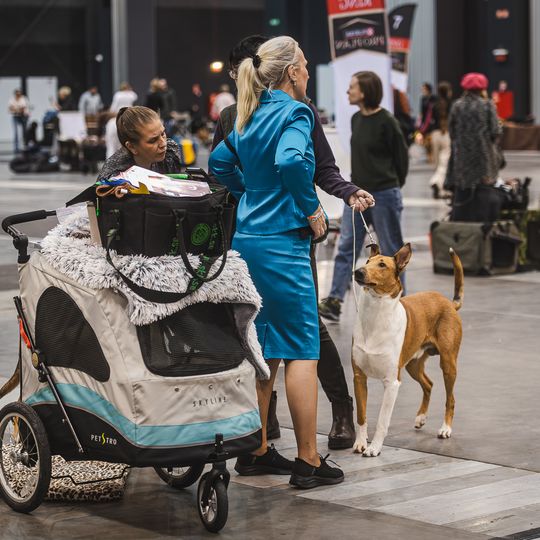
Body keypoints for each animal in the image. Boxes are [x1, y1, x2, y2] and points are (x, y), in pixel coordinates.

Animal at [351, 243, 463, 457]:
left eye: (382, 265)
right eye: (367, 261)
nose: (358, 272)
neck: (375, 318)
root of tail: (449, 303)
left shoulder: (392, 382)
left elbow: (382, 421)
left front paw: (374, 448)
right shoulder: (359, 377)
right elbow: (361, 415)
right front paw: (360, 443)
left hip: (448, 363)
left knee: (451, 398)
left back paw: (445, 428)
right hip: (413, 364)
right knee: (428, 384)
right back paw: (421, 417)